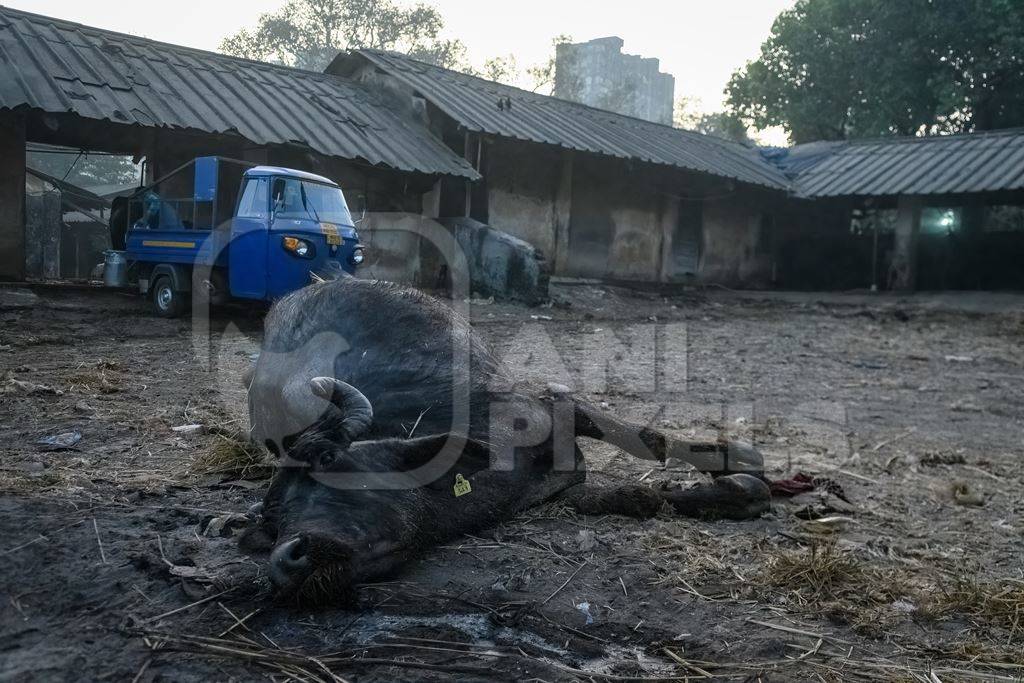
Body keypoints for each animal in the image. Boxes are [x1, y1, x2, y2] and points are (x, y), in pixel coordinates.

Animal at [243, 278, 765, 602]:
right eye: (273, 520)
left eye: (330, 458)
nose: (285, 561)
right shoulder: (555, 487)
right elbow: (631, 497)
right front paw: (719, 492)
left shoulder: (550, 400)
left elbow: (644, 438)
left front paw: (735, 459)